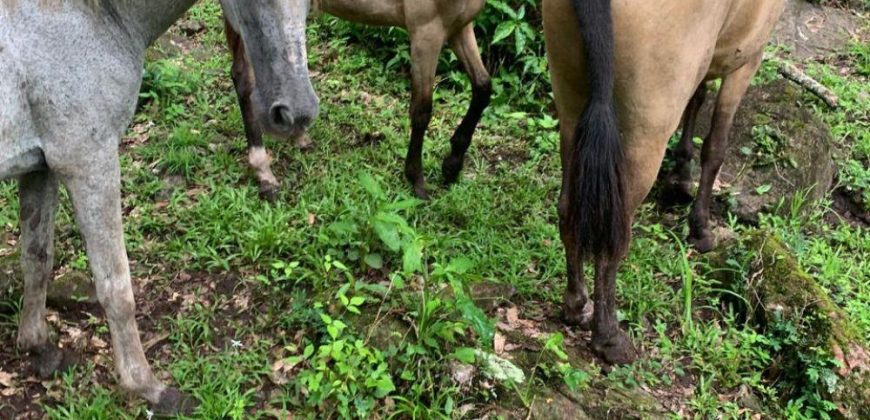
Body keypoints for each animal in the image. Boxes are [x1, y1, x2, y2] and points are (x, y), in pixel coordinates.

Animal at [0, 0, 320, 414]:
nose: (296, 113)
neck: (92, 16)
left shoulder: (41, 167)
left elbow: (37, 258)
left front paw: (36, 343)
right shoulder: (88, 162)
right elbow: (116, 287)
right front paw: (146, 385)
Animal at [544, 0, 784, 362]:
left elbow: (698, 98)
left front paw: (680, 176)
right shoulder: (746, 59)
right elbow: (715, 146)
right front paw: (700, 227)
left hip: (572, 108)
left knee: (569, 208)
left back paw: (576, 306)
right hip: (645, 131)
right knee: (612, 236)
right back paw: (609, 338)